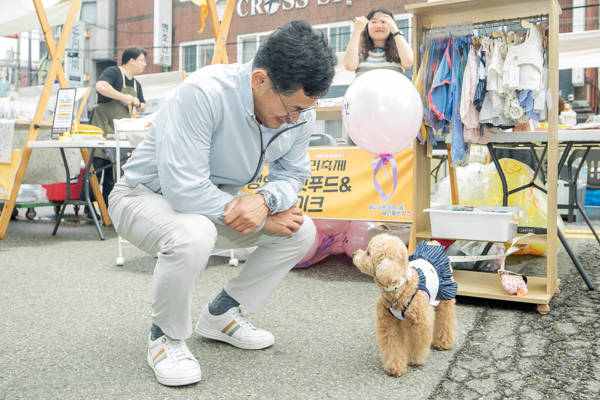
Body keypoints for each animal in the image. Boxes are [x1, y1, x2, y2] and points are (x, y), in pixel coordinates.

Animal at [354, 233, 458, 376]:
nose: (354, 253)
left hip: (445, 296)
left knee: (446, 319)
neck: (401, 287)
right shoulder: (389, 324)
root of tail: (433, 244)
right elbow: (393, 346)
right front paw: (395, 367)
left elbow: (417, 343)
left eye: (368, 253)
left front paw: (414, 359)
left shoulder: (419, 324)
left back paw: (444, 342)